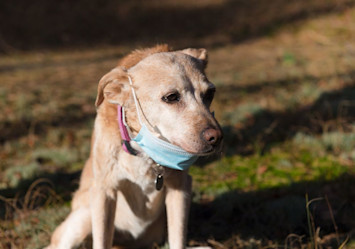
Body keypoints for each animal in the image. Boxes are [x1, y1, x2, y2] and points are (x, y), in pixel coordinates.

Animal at [46, 44, 222, 249]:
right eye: (171, 97)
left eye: (210, 94)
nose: (216, 138)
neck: (142, 151)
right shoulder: (104, 192)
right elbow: (101, 241)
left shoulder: (180, 187)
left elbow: (178, 238)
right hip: (82, 219)